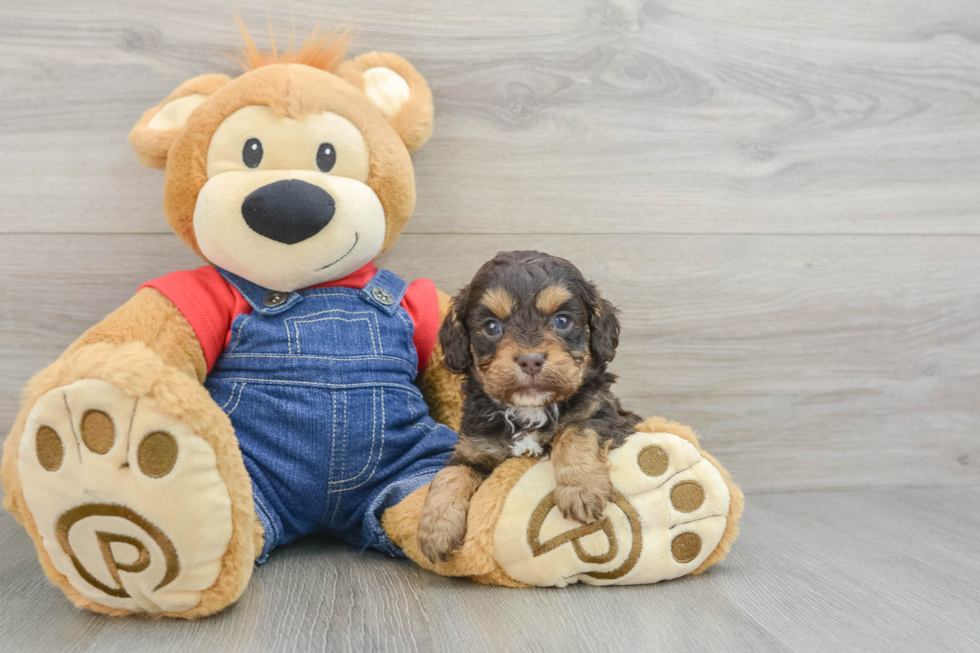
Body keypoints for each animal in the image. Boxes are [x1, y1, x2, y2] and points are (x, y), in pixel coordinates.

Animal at [416, 248, 640, 560]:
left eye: (562, 320)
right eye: (491, 326)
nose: (530, 360)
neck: (529, 409)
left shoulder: (607, 414)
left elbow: (575, 431)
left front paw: (580, 489)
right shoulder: (473, 448)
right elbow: (450, 474)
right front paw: (435, 530)